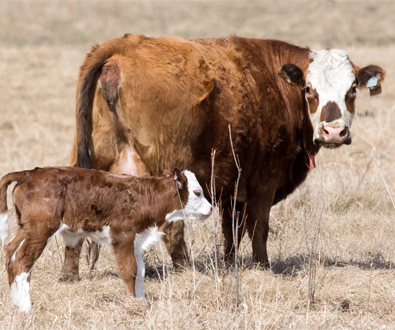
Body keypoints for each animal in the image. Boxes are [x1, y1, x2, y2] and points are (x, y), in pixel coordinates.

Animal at [0, 168, 213, 312]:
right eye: (197, 192)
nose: (211, 208)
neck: (143, 196)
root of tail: (29, 174)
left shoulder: (137, 239)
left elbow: (140, 271)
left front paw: (140, 301)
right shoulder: (123, 236)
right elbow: (130, 269)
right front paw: (132, 305)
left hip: (27, 229)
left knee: (11, 253)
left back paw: (16, 302)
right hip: (40, 230)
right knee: (22, 262)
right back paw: (26, 307)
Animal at [62, 34, 386, 282]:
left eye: (352, 89)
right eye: (309, 89)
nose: (334, 132)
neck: (276, 86)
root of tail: (123, 45)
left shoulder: (232, 187)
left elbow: (232, 231)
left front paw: (230, 264)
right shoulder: (264, 181)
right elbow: (258, 228)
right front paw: (262, 267)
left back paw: (69, 274)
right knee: (174, 228)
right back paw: (185, 270)